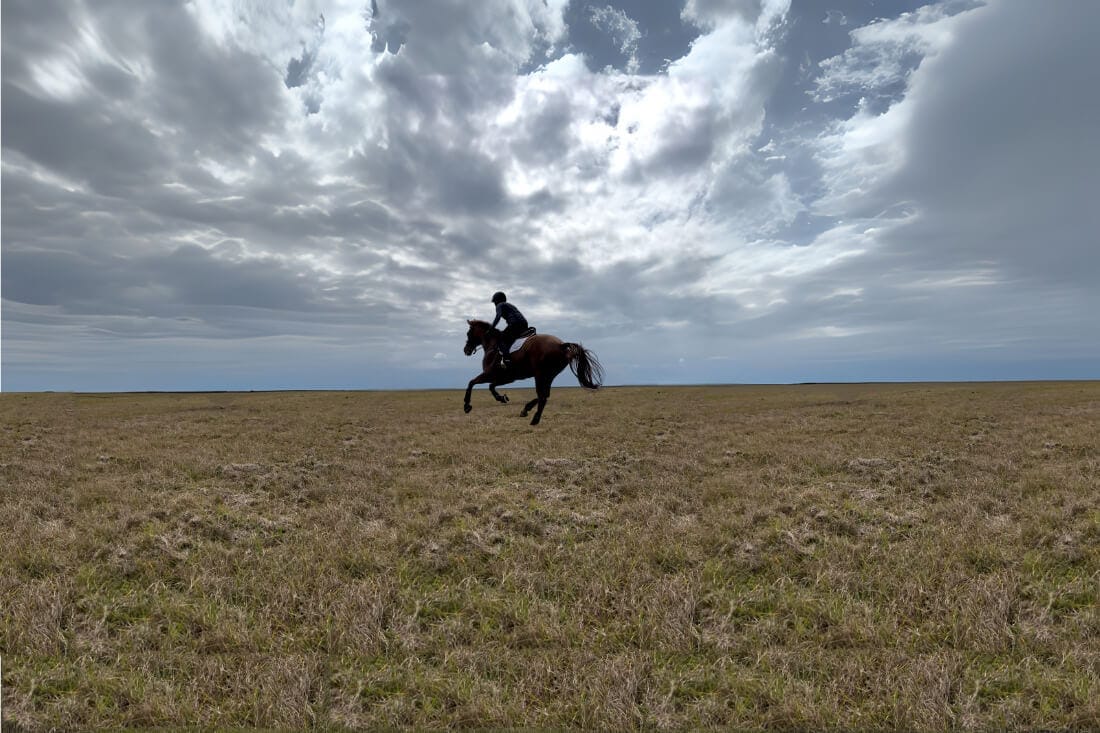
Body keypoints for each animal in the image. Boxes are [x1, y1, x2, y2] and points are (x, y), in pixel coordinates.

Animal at [462, 319, 603, 425]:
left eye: (468, 333)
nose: (466, 350)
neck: (493, 345)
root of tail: (561, 345)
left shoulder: (490, 374)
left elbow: (471, 383)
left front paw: (467, 406)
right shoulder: (507, 378)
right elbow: (491, 386)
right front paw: (502, 398)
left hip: (540, 375)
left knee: (543, 396)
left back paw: (534, 419)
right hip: (548, 376)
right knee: (544, 395)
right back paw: (526, 410)